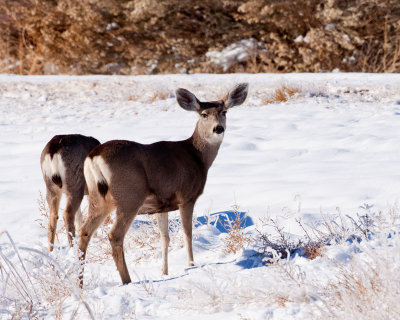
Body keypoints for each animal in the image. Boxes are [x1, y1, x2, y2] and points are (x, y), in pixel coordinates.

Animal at [77, 83, 247, 284]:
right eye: (204, 114)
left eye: (224, 112)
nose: (218, 129)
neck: (197, 157)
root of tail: (94, 157)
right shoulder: (186, 196)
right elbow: (187, 233)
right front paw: (191, 265)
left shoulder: (161, 205)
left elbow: (165, 238)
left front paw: (164, 272)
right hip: (129, 195)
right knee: (115, 234)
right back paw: (127, 280)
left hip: (98, 197)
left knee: (85, 231)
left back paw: (79, 281)